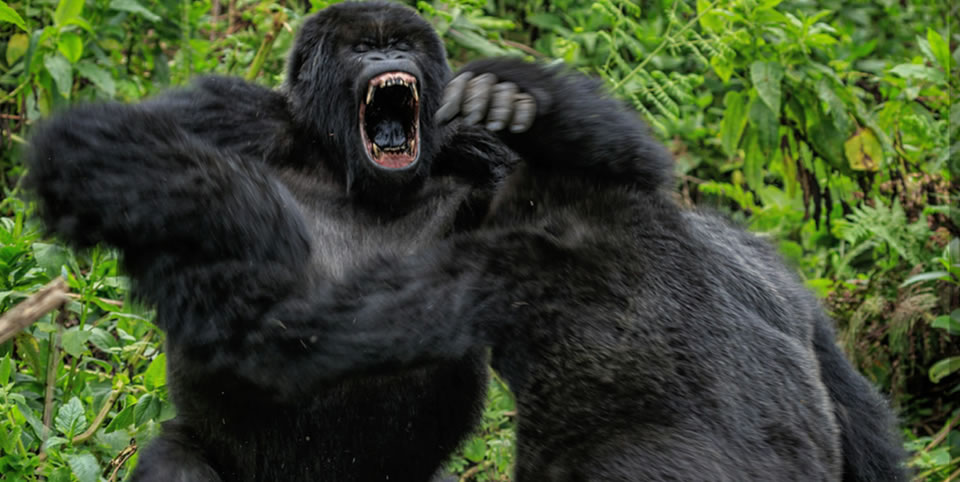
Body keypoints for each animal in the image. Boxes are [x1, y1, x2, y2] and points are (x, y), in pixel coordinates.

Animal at [26, 1, 512, 480]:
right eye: (361, 48)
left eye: (402, 44)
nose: (388, 56)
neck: (341, 166)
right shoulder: (236, 113)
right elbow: (88, 142)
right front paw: (255, 217)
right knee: (177, 465)